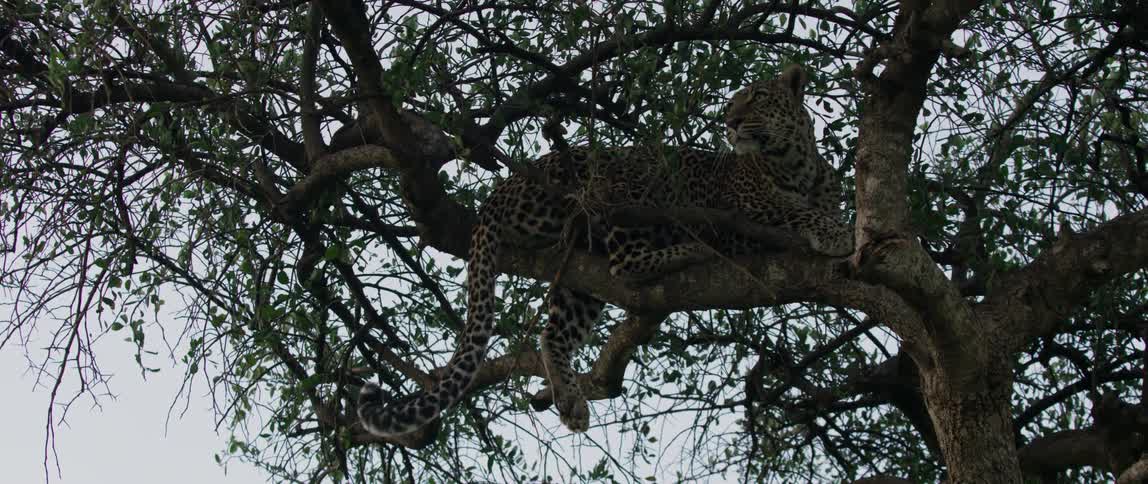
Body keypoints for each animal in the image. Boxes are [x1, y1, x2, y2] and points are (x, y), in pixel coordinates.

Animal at [357, 64, 853, 438]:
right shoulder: (745, 213)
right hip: (623, 184)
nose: (728, 122)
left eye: (757, 98)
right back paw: (691, 251)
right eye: (733, 103)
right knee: (624, 263)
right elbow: (794, 213)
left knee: (555, 330)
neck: (798, 163)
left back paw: (571, 400)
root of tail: (500, 189)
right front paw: (838, 234)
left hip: (579, 270)